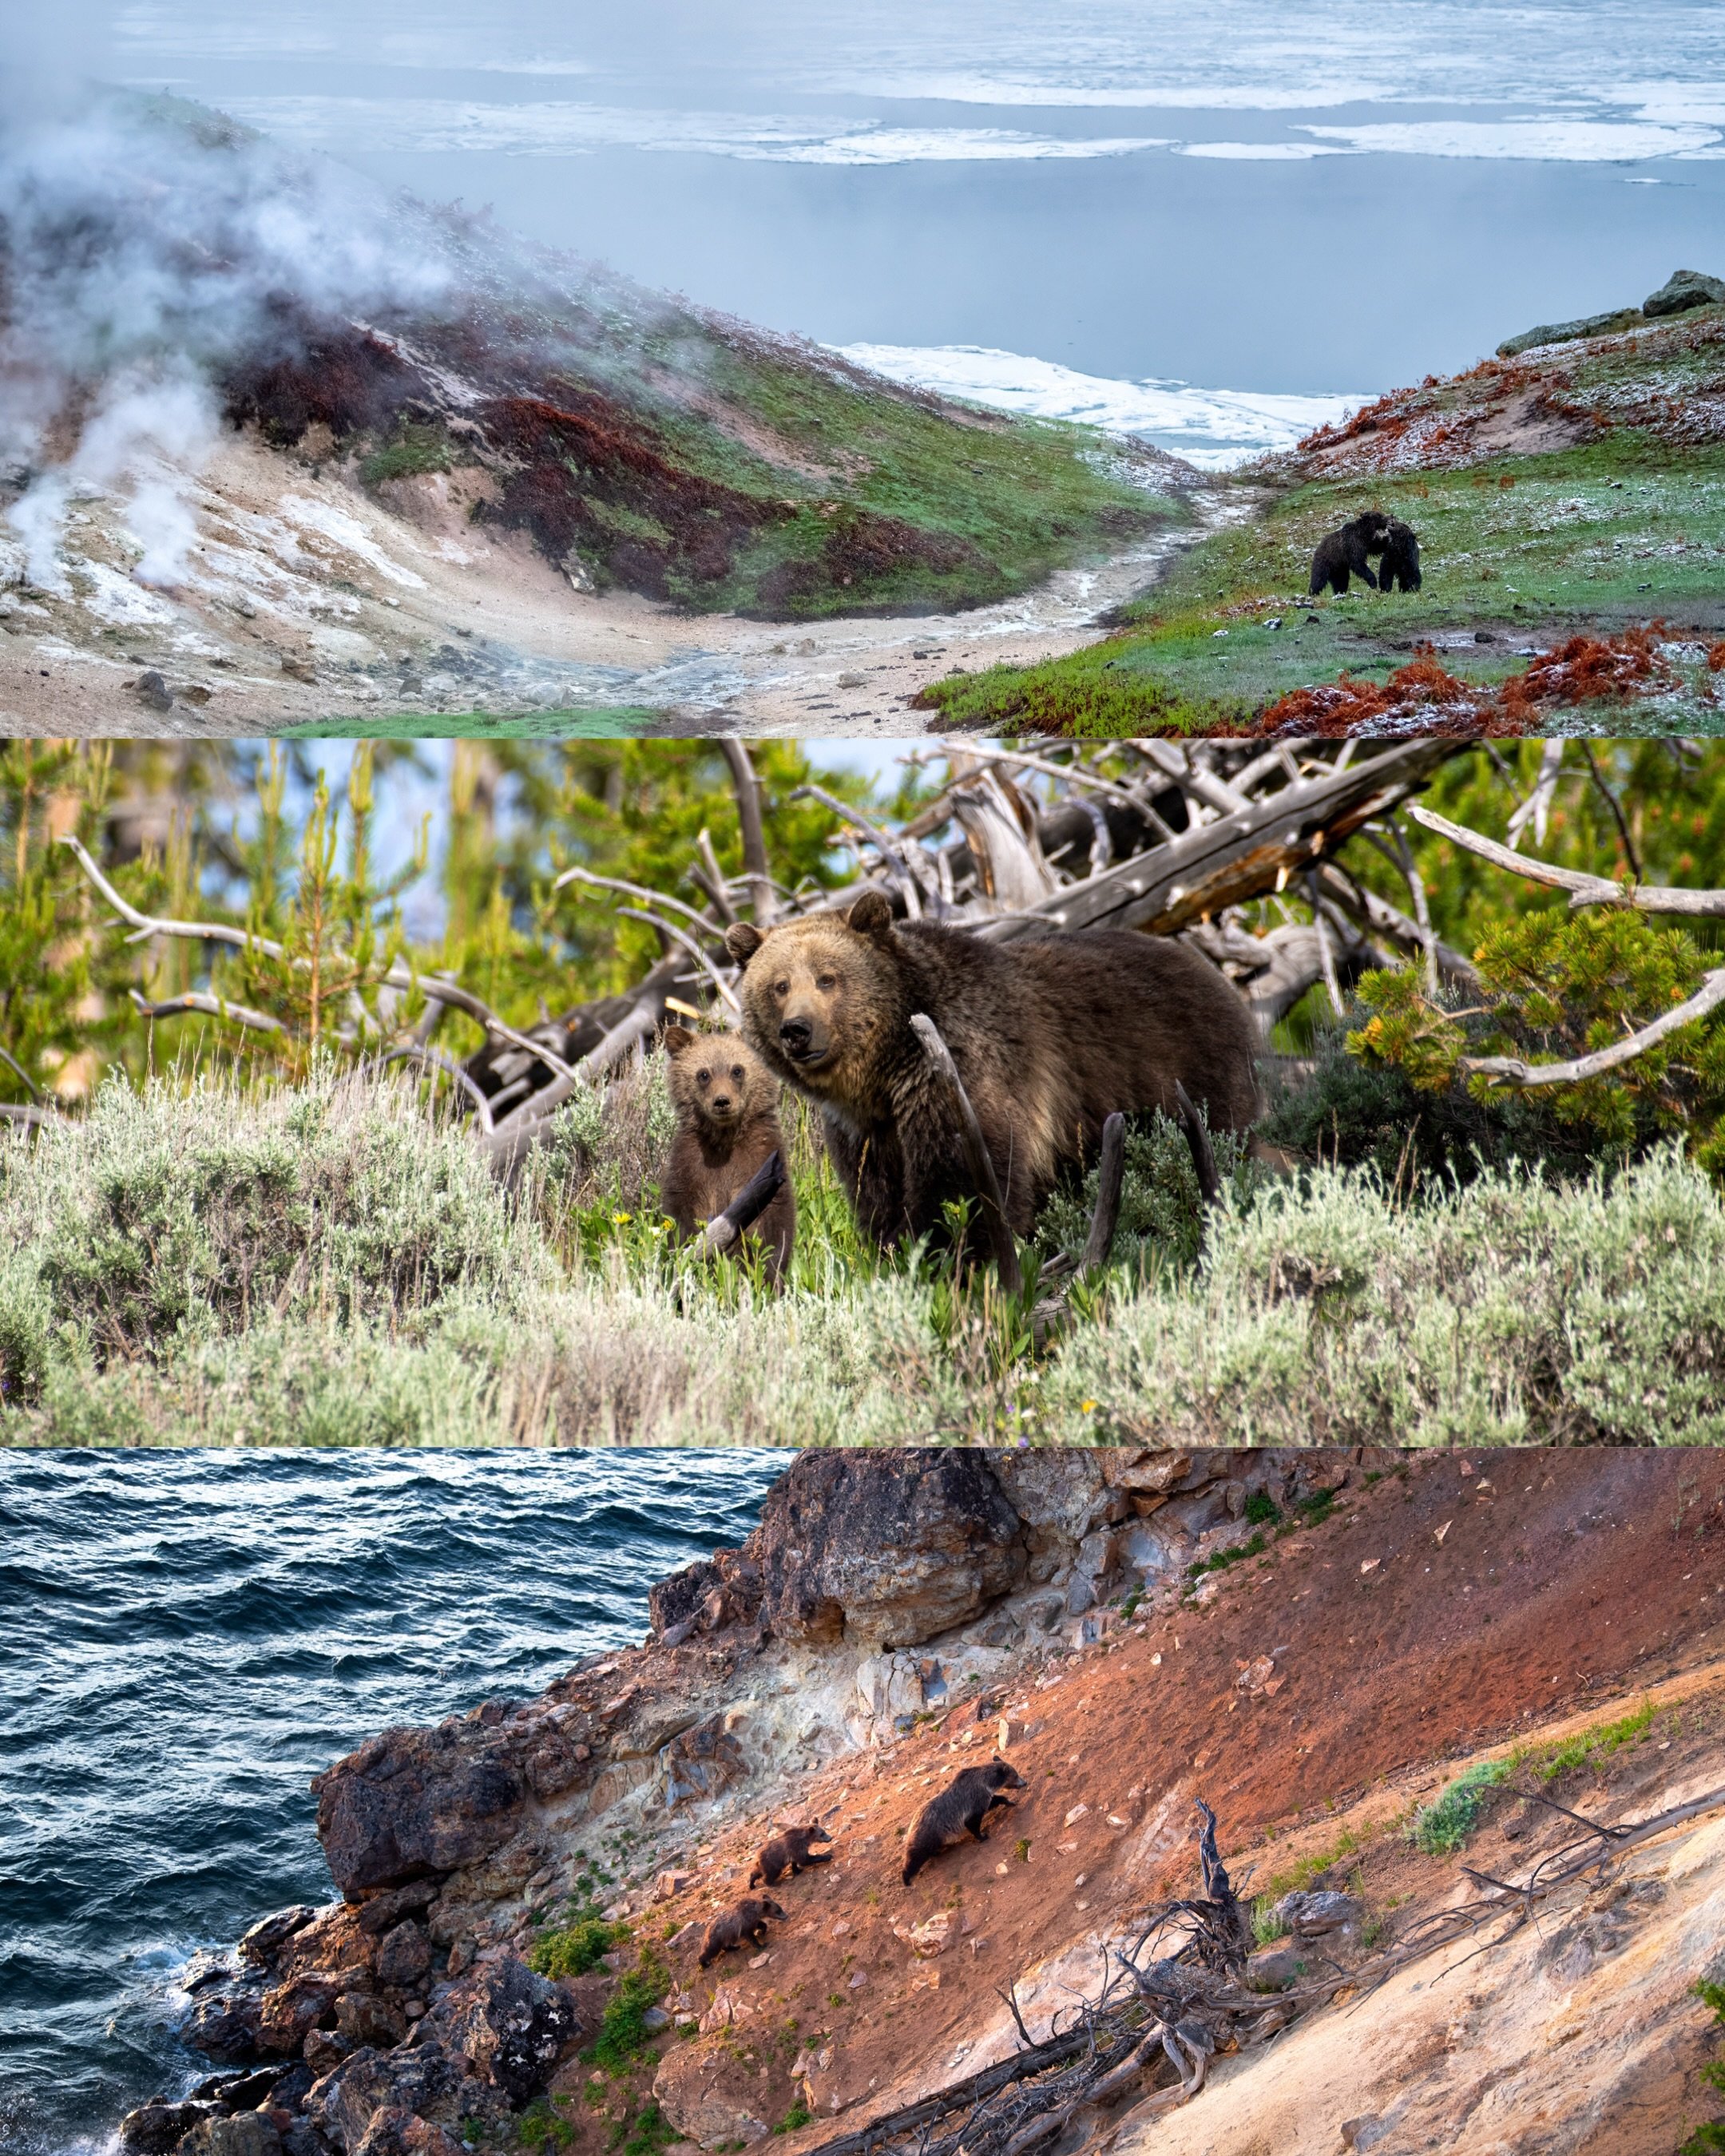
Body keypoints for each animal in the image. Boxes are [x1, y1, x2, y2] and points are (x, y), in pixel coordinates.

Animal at [660, 1024, 796, 1279]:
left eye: (737, 1070)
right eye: (704, 1074)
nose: (722, 1101)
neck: (725, 1140)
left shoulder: (761, 1158)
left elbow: (773, 1229)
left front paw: (768, 1276)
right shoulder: (690, 1166)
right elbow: (680, 1219)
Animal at [724, 895, 1259, 1250]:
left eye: (827, 978)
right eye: (779, 985)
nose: (797, 1030)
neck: (884, 1069)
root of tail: (1212, 972)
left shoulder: (962, 1071)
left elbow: (964, 1185)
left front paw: (955, 1257)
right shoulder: (866, 1131)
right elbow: (878, 1198)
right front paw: (897, 1250)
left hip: (1190, 1071)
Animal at [901, 1761, 1027, 1886]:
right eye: (1015, 1775)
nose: (1025, 1782)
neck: (986, 1782)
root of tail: (911, 1826)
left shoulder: (984, 1799)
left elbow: (995, 1800)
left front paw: (1010, 1802)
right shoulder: (974, 1802)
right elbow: (972, 1823)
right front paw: (982, 1836)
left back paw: (937, 1852)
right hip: (927, 1835)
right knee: (915, 1858)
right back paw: (907, 1878)